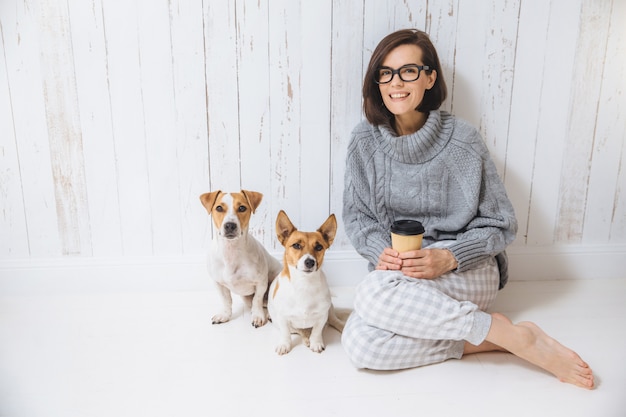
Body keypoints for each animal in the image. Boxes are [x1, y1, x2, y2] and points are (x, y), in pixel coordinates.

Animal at [199, 189, 282, 328]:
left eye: (242, 208)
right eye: (219, 208)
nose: (230, 225)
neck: (231, 251)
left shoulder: (261, 282)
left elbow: (257, 300)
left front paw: (257, 316)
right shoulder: (218, 284)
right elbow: (226, 301)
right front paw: (225, 315)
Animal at [266, 210, 344, 352]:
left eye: (319, 247)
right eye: (296, 245)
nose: (310, 262)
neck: (305, 284)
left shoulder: (322, 315)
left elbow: (317, 331)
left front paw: (316, 342)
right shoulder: (283, 318)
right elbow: (286, 333)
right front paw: (285, 344)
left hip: (330, 309)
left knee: (333, 320)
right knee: (299, 331)